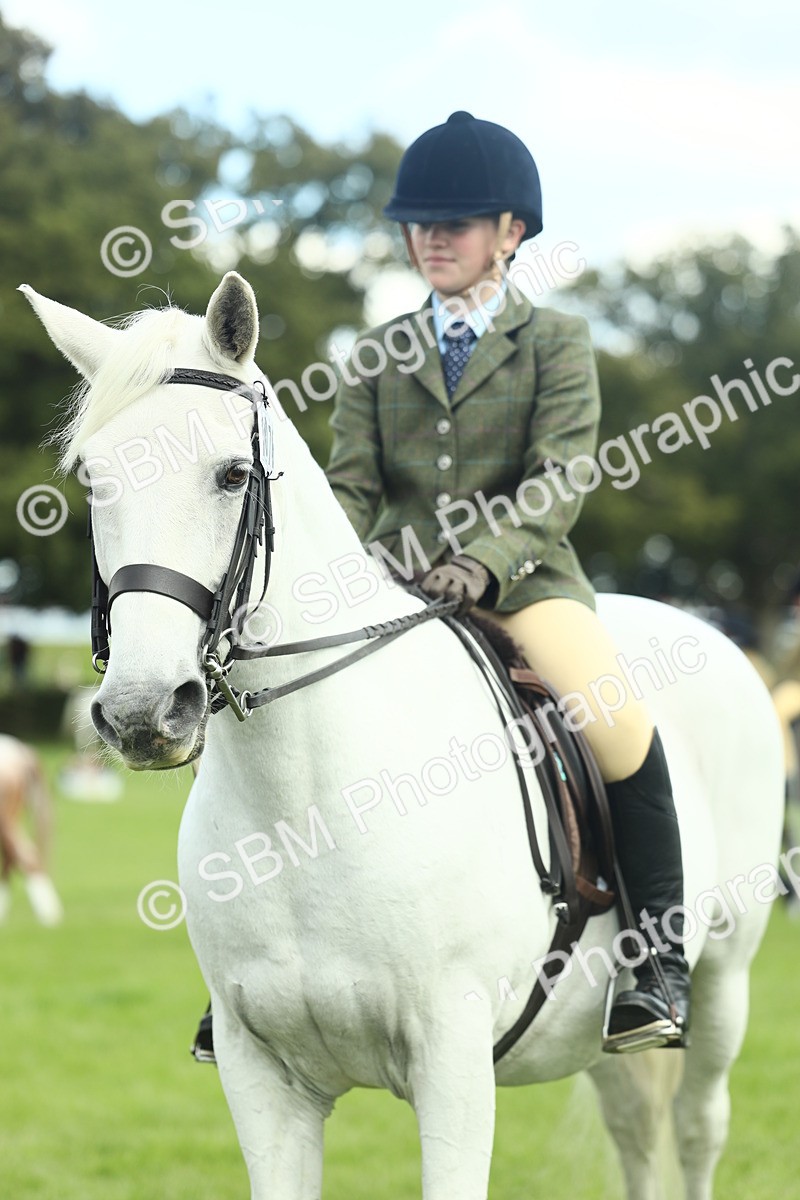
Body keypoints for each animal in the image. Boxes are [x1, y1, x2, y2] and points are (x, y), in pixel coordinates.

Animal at [21, 272, 785, 1199]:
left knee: (696, 1126)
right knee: (638, 1131)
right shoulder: (260, 1076)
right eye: (92, 480)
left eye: (233, 475)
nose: (140, 711)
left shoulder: (452, 1063)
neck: (304, 804)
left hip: (723, 984)